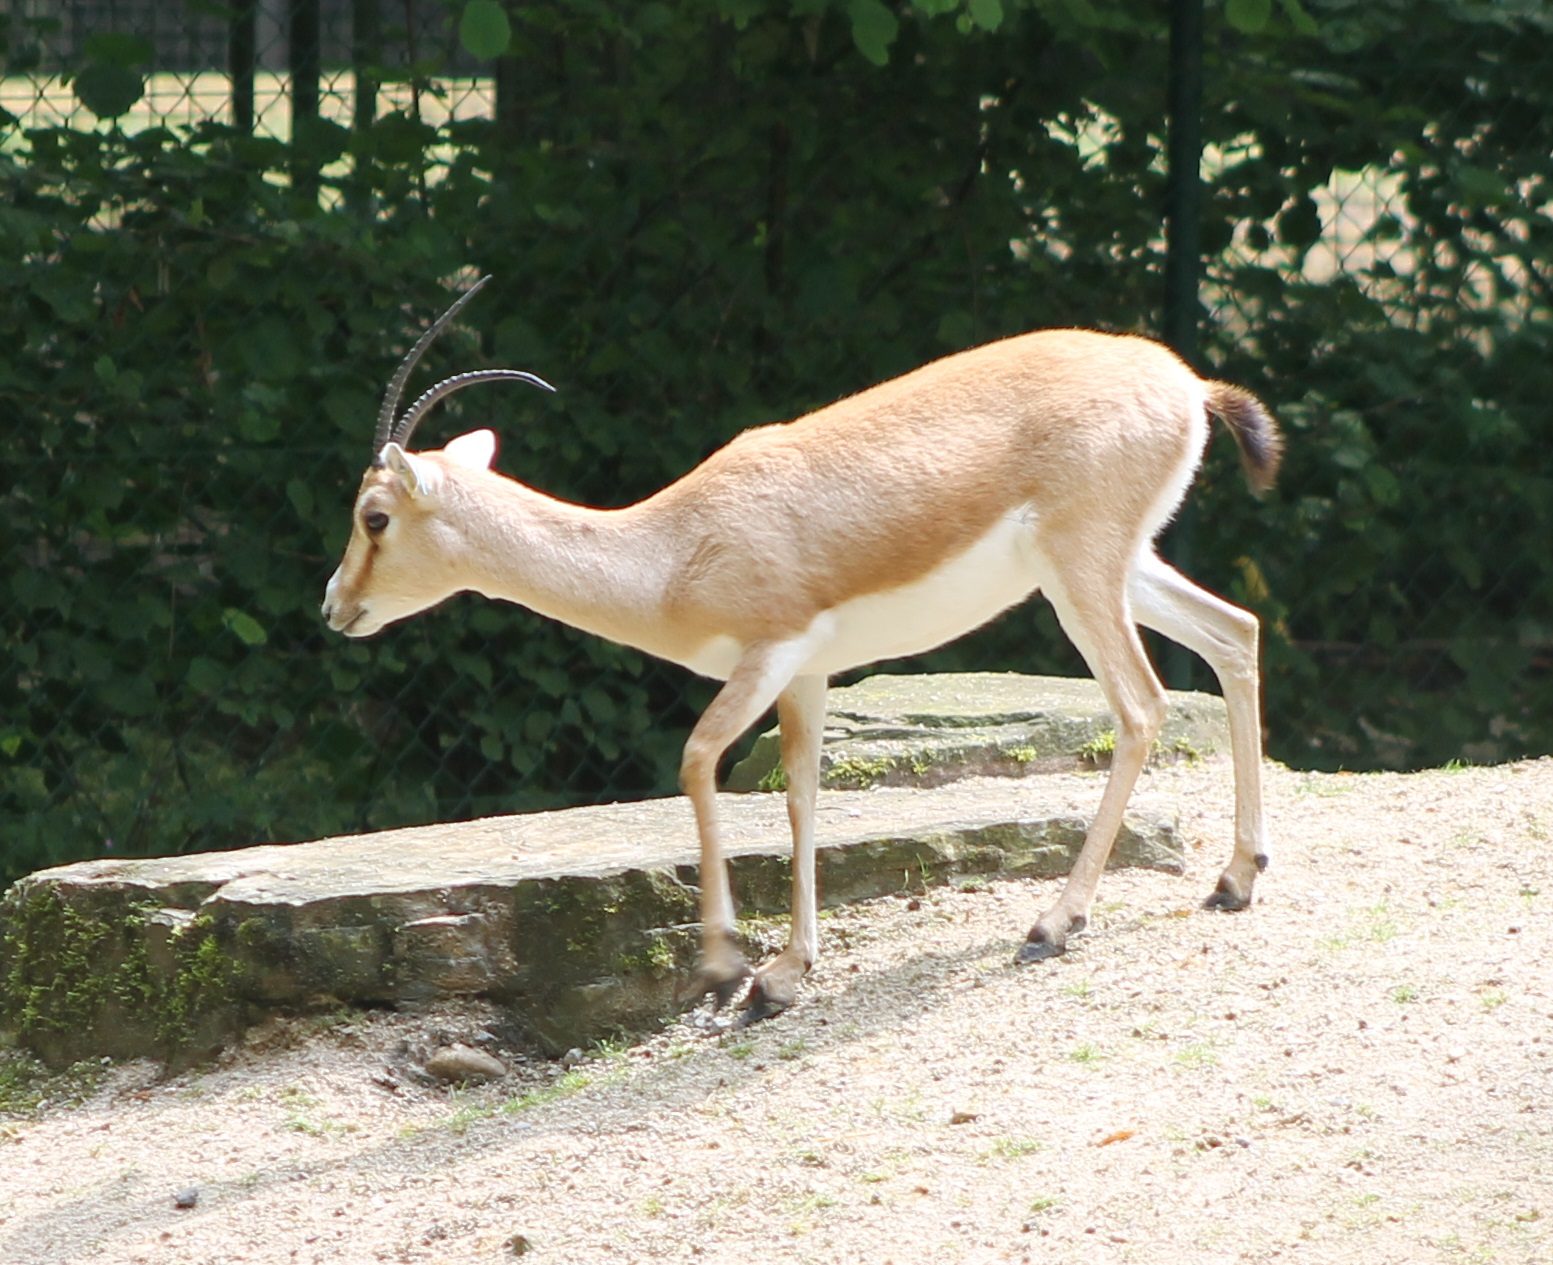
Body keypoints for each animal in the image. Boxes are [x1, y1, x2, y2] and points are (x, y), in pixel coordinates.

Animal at [322, 277, 1282, 1024]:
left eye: (375, 515)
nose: (335, 606)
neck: (672, 551)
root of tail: (1184, 383)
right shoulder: (810, 673)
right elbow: (801, 796)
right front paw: (784, 975)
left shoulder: (769, 653)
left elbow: (697, 759)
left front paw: (725, 967)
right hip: (1124, 567)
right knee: (1235, 633)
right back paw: (1234, 879)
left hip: (1079, 577)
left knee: (1141, 705)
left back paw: (1052, 924)